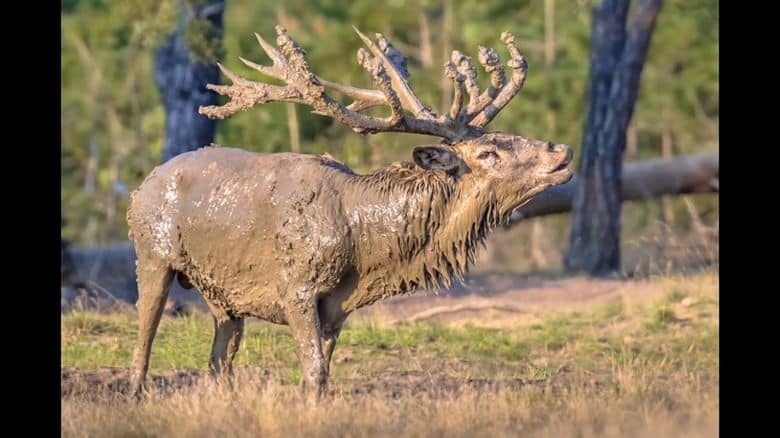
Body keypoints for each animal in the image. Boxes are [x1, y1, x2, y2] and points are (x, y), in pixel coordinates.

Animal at [127, 25, 573, 401]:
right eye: (487, 152)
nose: (561, 150)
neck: (364, 248)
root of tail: (140, 187)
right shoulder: (296, 288)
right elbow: (314, 371)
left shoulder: (336, 309)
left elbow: (321, 374)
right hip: (151, 253)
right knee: (144, 337)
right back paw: (136, 395)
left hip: (223, 295)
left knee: (219, 360)